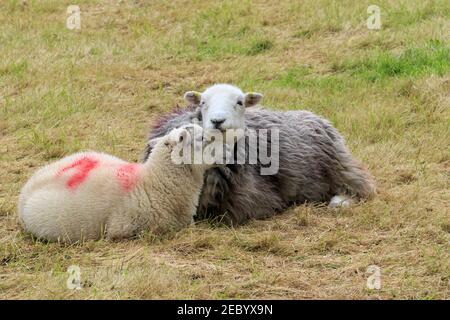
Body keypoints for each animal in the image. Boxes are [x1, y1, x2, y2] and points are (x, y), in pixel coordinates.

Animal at [142, 84, 374, 226]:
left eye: (240, 102)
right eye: (202, 102)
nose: (218, 121)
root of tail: (314, 115)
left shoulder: (253, 202)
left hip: (340, 168)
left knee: (363, 186)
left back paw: (340, 202)